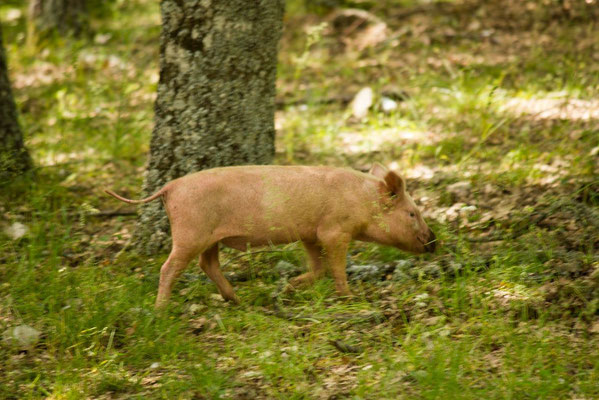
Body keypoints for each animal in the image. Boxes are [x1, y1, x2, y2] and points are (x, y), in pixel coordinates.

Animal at [106, 164, 436, 308]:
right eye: (412, 213)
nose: (435, 241)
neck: (361, 201)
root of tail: (169, 187)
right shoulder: (335, 231)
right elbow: (336, 268)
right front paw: (351, 298)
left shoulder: (309, 234)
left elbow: (318, 268)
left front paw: (287, 290)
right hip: (191, 233)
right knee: (169, 267)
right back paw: (161, 311)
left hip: (210, 238)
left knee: (207, 264)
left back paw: (237, 300)